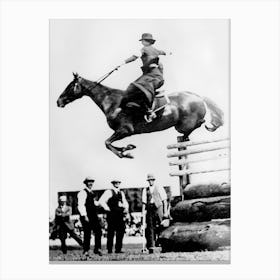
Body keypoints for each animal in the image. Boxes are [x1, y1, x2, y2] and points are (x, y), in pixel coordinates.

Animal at [56, 73, 223, 159]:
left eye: (70, 86)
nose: (59, 101)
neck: (112, 102)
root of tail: (198, 96)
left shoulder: (125, 130)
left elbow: (107, 143)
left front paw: (125, 152)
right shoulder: (121, 132)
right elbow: (108, 143)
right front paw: (127, 148)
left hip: (183, 125)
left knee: (198, 124)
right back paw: (184, 139)